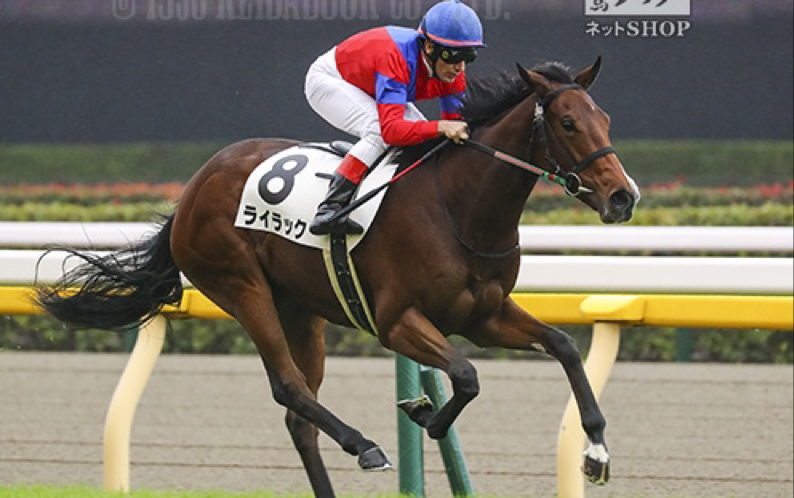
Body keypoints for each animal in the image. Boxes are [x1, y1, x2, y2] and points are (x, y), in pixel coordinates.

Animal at [37, 57, 639, 496]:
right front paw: (424, 413)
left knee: (299, 414)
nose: (623, 196)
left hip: (301, 311)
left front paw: (596, 452)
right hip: (242, 287)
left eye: (607, 119)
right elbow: (466, 376)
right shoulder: (396, 322)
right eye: (567, 123)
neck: (459, 208)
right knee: (289, 387)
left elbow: (563, 345)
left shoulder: (484, 315)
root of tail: (192, 190)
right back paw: (364, 444)